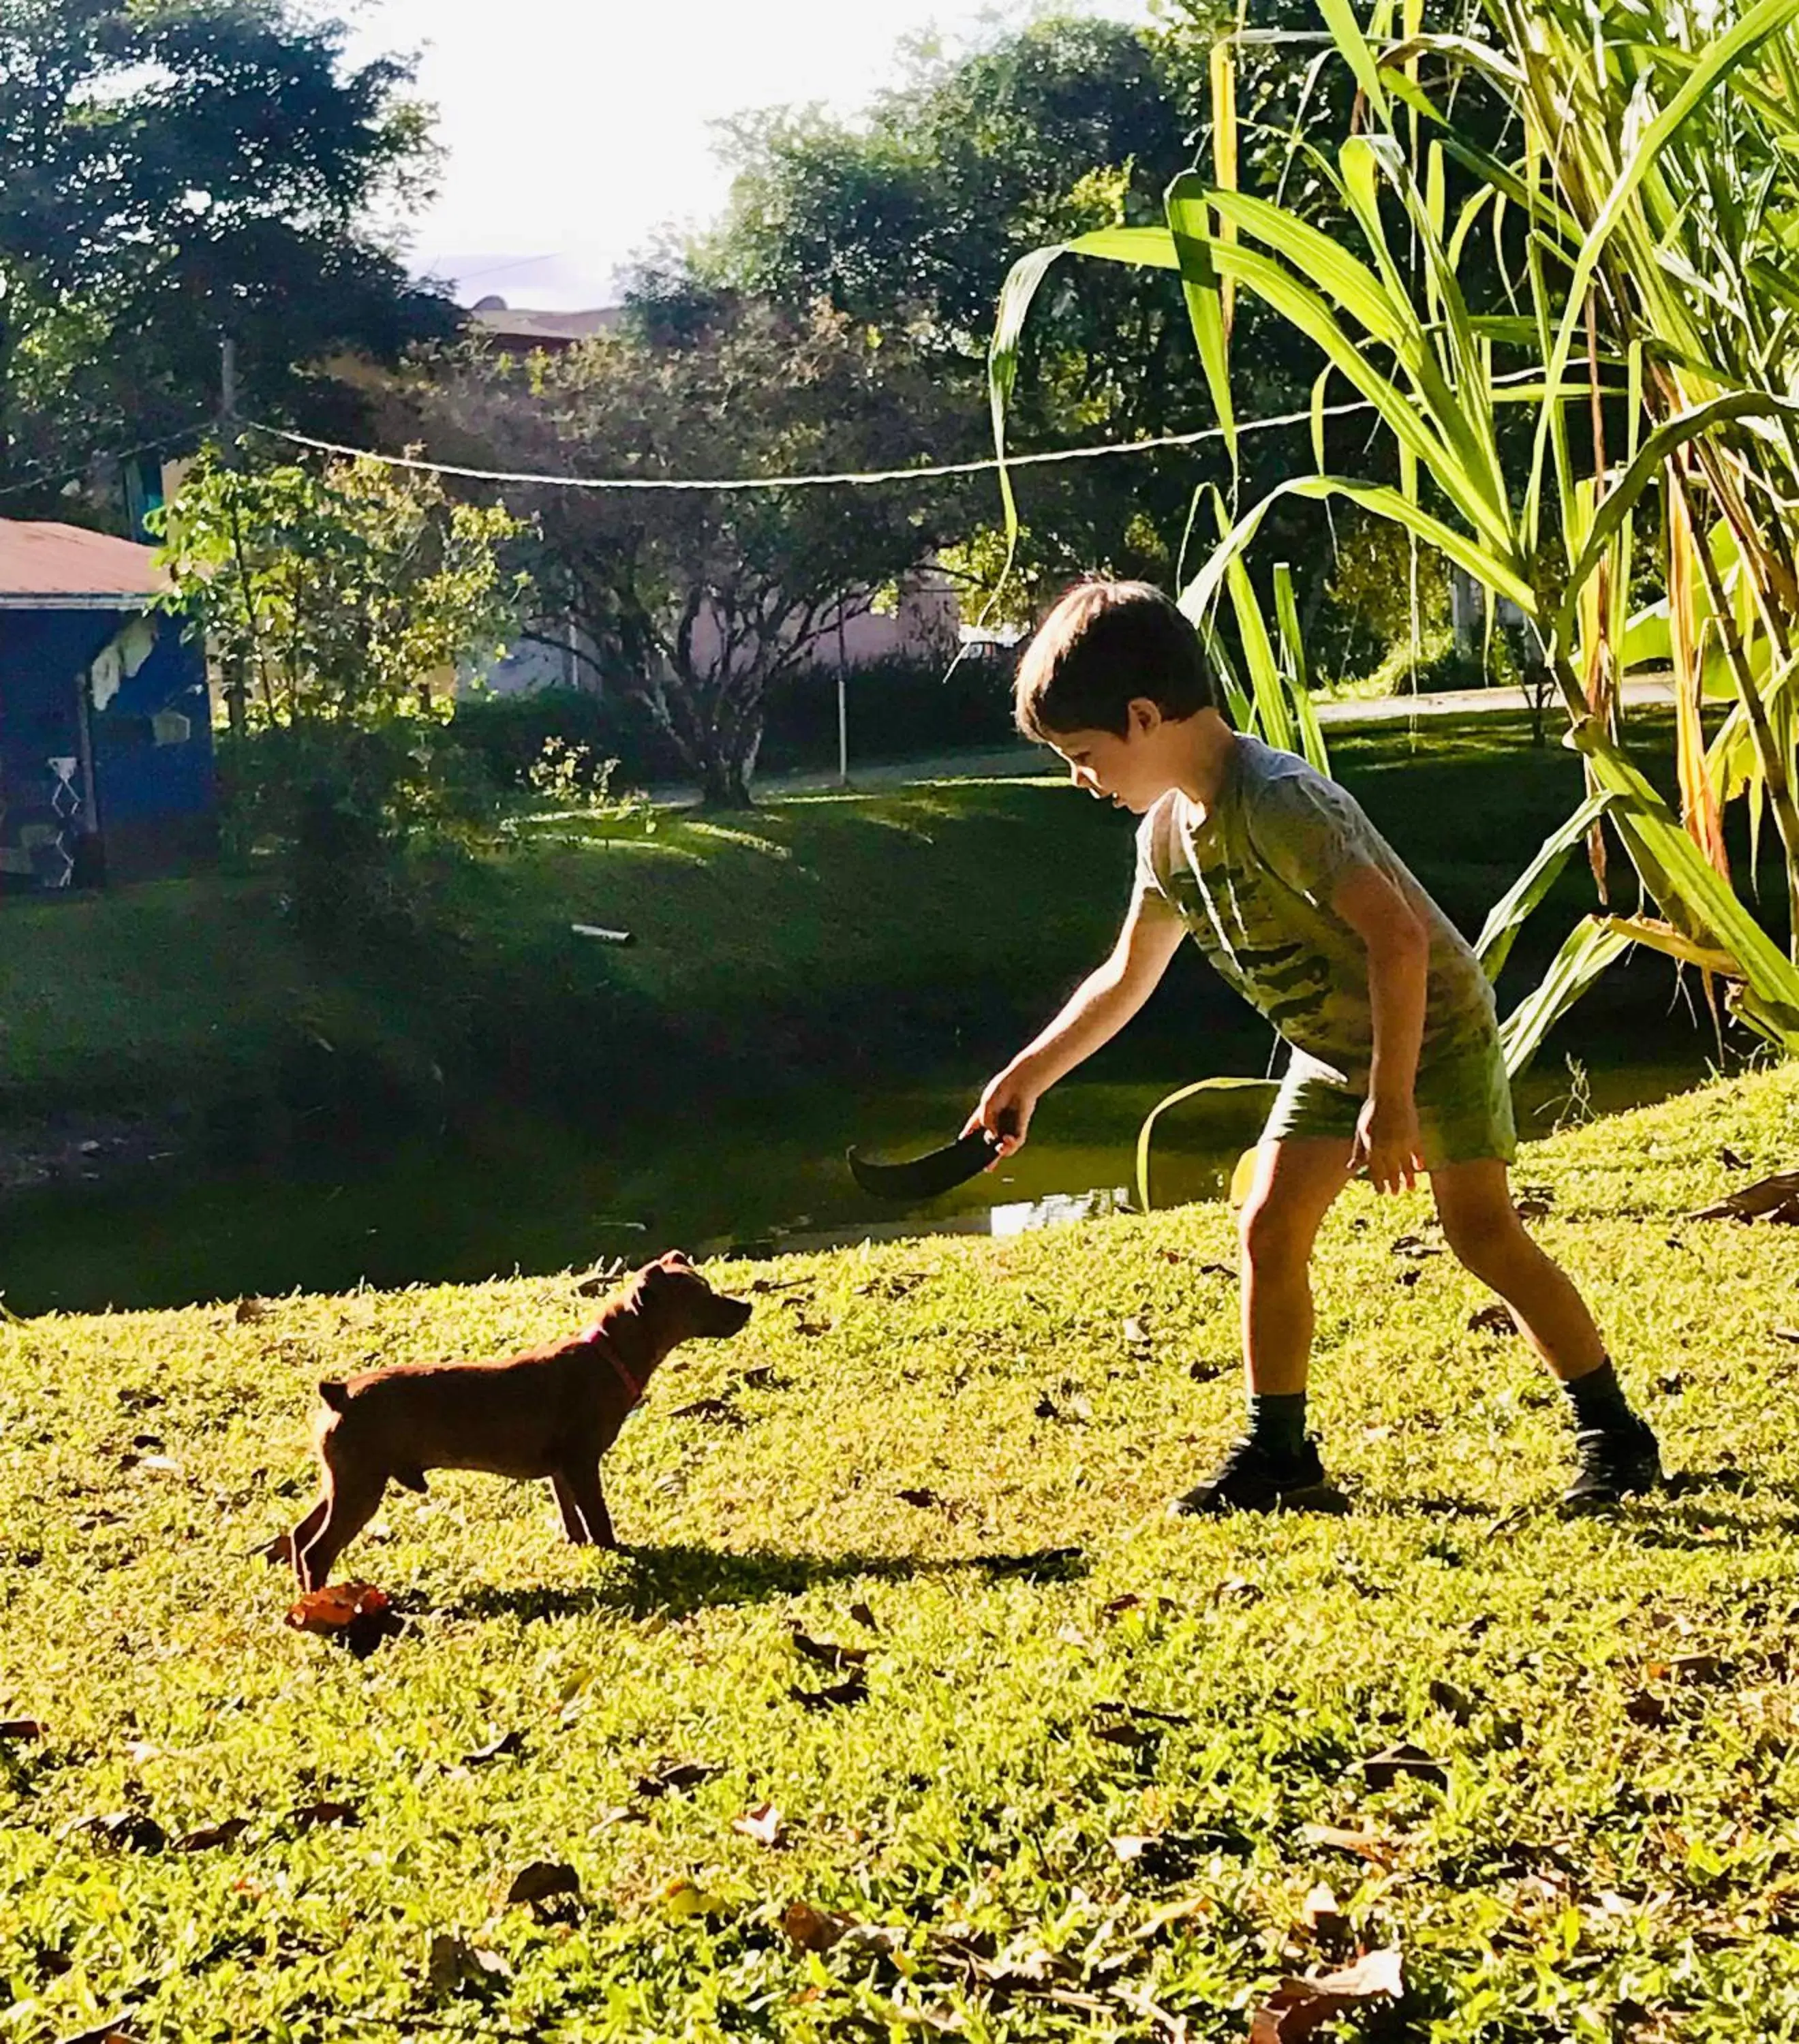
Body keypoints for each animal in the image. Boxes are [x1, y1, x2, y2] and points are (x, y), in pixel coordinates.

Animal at [290, 1243, 752, 1594]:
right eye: (701, 1297)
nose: (747, 1307)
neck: (608, 1356)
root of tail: (339, 1393)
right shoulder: (582, 1464)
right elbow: (599, 1519)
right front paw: (617, 1554)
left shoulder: (561, 1471)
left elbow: (573, 1519)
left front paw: (580, 1549)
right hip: (361, 1489)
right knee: (317, 1550)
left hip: (343, 1482)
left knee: (300, 1534)